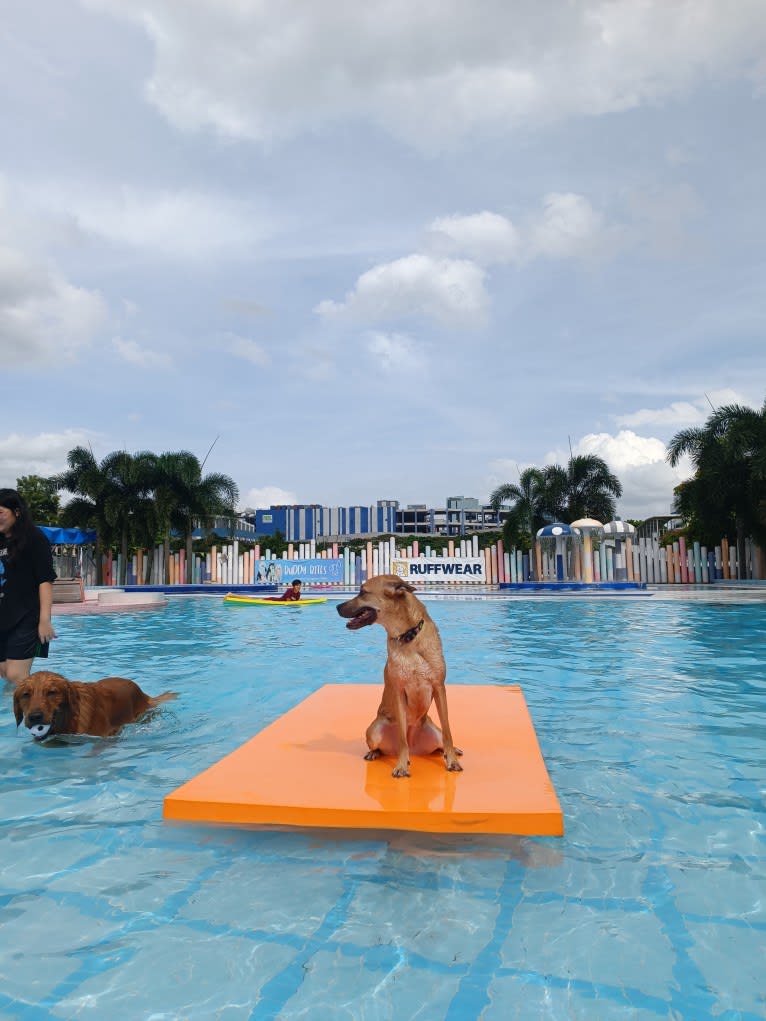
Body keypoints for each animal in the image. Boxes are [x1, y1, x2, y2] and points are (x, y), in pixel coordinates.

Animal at [339, 579, 465, 775]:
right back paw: (374, 753)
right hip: (374, 729)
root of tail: (416, 749)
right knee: (383, 746)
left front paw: (452, 761)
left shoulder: (439, 687)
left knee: (440, 744)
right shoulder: (399, 691)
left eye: (363, 592)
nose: (337, 606)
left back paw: (451, 751)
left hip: (433, 731)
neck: (408, 637)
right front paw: (401, 765)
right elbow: (402, 740)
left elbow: (448, 732)